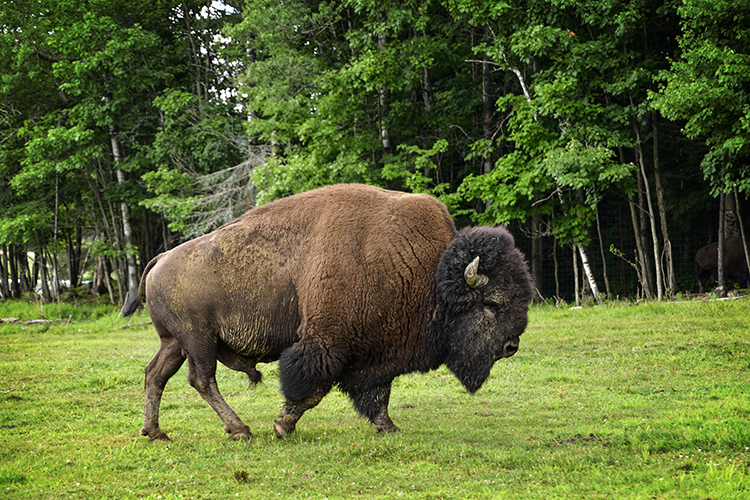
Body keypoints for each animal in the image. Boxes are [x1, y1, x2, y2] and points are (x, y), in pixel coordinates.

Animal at [122, 182, 536, 440]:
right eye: (492, 303)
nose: (511, 346)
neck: (427, 272)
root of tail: (160, 259)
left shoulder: (375, 350)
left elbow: (377, 393)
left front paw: (389, 427)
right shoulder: (327, 342)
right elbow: (310, 388)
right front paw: (282, 425)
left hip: (174, 342)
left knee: (155, 375)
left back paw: (155, 432)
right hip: (198, 340)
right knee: (202, 379)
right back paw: (240, 430)